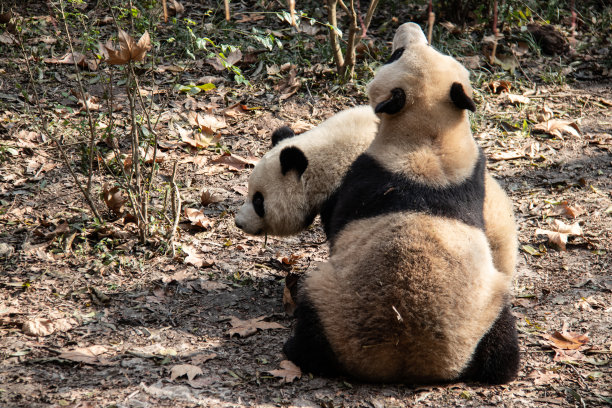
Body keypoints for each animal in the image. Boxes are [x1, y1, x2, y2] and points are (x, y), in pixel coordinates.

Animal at [284, 22, 520, 386]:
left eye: (396, 54)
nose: (409, 27)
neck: (428, 137)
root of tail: (405, 358)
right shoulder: (472, 170)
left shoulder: (369, 173)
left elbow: (337, 218)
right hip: (486, 313)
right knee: (502, 347)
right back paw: (503, 365)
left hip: (332, 303)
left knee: (313, 325)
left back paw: (295, 349)